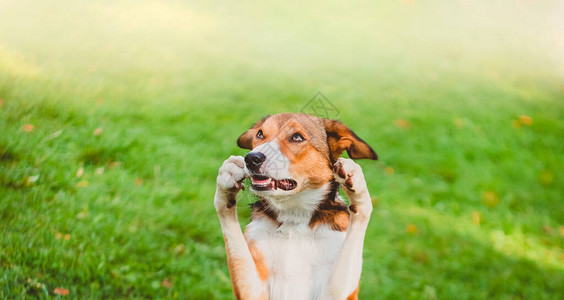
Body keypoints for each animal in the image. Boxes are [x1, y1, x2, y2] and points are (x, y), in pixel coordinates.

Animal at [214, 113, 376, 300]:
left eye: (297, 137)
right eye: (260, 134)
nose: (251, 158)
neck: (294, 217)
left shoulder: (334, 292)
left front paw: (356, 182)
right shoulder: (253, 291)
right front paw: (227, 180)